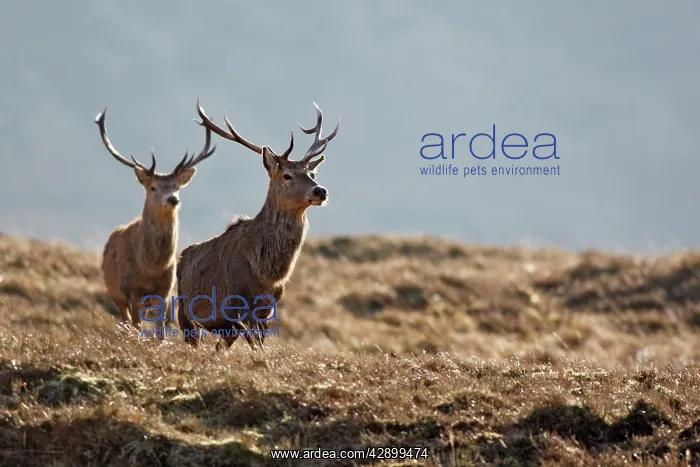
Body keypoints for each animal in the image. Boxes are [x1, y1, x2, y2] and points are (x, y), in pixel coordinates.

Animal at [95, 104, 216, 338]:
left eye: (176, 187)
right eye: (153, 187)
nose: (173, 199)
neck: (150, 268)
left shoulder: (165, 291)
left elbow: (161, 332)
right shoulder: (130, 290)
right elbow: (136, 326)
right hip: (116, 294)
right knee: (126, 321)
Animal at [176, 97, 340, 350]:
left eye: (312, 174)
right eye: (287, 176)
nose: (320, 191)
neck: (266, 273)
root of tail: (182, 256)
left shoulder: (269, 307)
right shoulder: (238, 302)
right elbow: (256, 346)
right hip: (183, 308)